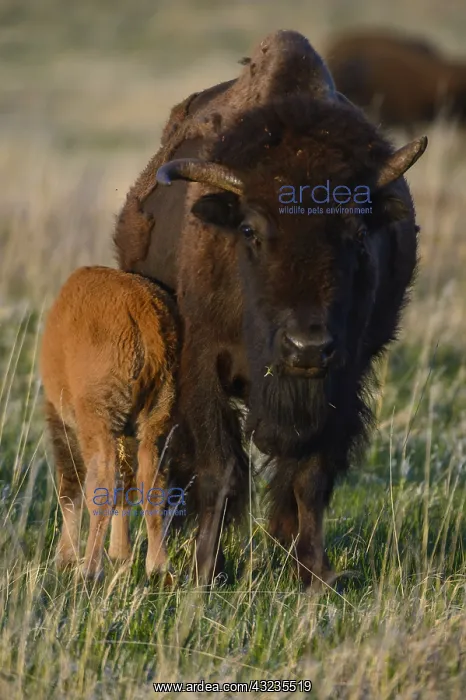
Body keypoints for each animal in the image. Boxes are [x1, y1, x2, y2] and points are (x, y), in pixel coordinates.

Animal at [115, 32, 427, 588]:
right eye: (250, 230)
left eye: (357, 232)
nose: (306, 347)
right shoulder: (200, 365)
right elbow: (219, 467)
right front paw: (205, 573)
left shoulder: (343, 376)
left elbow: (310, 474)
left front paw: (314, 574)